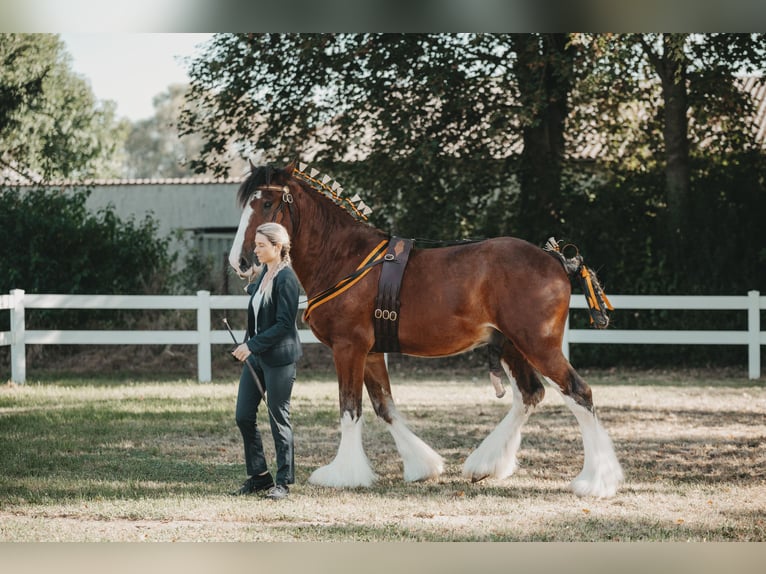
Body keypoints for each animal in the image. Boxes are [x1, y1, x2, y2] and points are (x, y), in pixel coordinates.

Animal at [228, 162, 624, 500]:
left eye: (266, 203)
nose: (240, 261)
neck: (344, 258)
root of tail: (557, 260)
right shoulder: (372, 352)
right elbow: (384, 407)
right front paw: (422, 465)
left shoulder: (348, 348)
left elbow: (350, 408)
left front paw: (343, 474)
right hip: (514, 346)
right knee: (530, 395)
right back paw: (486, 465)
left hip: (538, 344)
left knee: (579, 393)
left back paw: (596, 481)